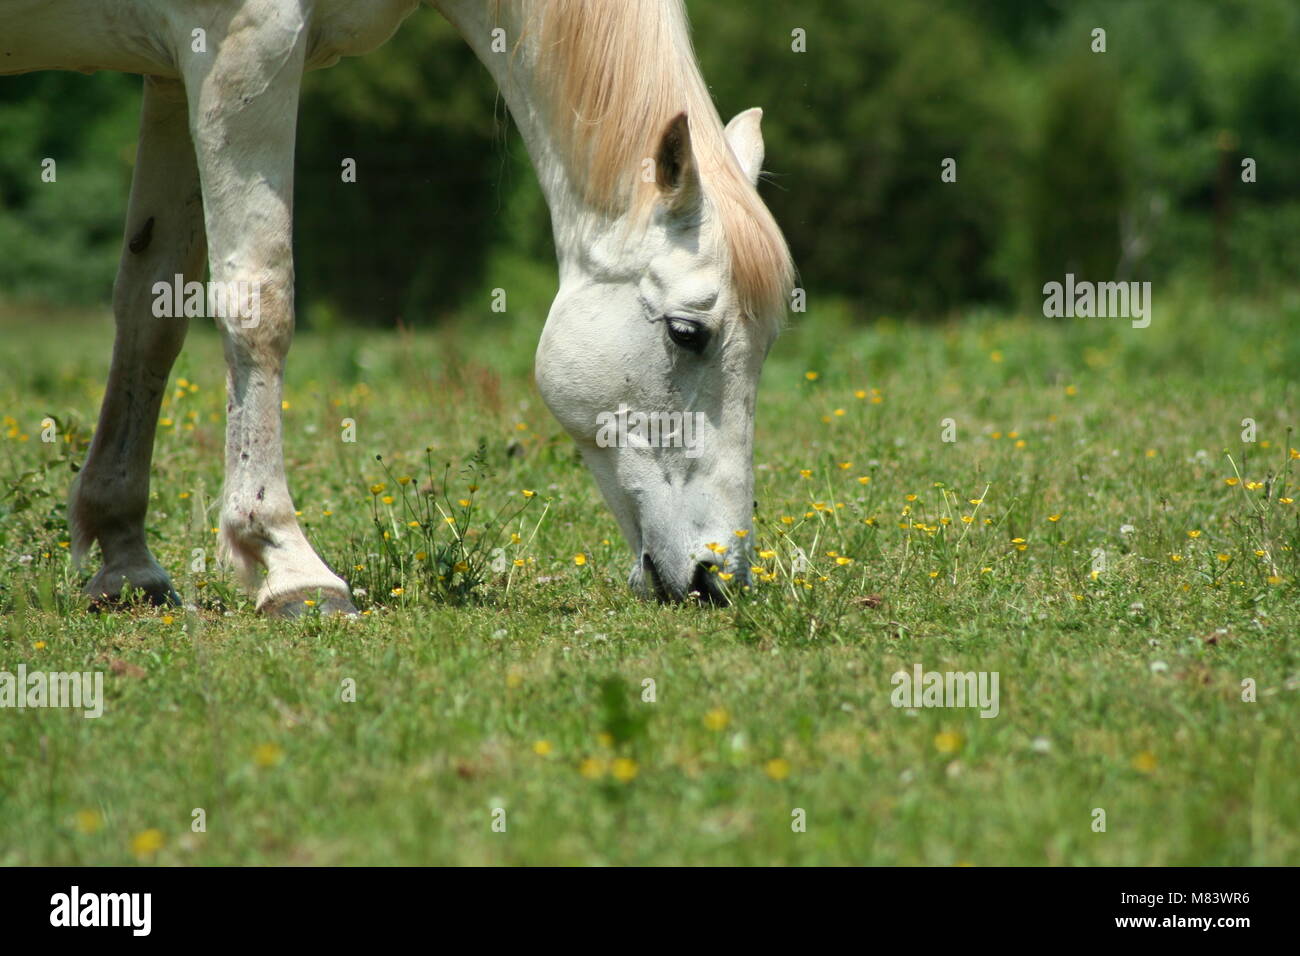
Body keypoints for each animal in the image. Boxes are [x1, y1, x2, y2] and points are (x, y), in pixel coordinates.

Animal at [1, 0, 794, 614]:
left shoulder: (171, 72)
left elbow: (153, 310)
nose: (717, 578)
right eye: (688, 333)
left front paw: (125, 561)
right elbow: (259, 303)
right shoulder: (242, 45)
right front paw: (287, 563)